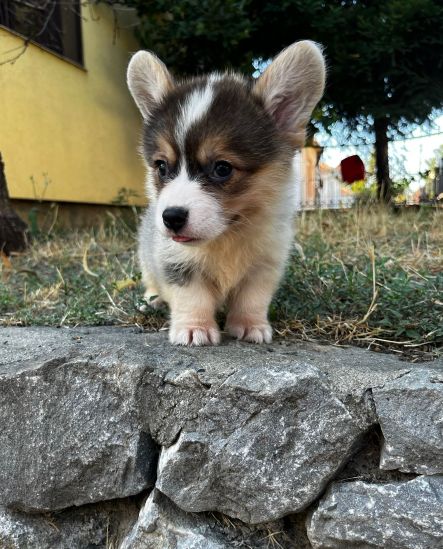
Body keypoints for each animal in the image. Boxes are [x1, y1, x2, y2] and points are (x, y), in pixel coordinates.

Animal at [128, 40, 326, 344]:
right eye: (161, 167)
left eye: (222, 168)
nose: (171, 218)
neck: (227, 235)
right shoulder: (175, 263)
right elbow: (192, 297)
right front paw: (194, 329)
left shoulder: (265, 264)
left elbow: (252, 299)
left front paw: (250, 325)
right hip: (147, 257)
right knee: (151, 280)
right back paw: (152, 300)